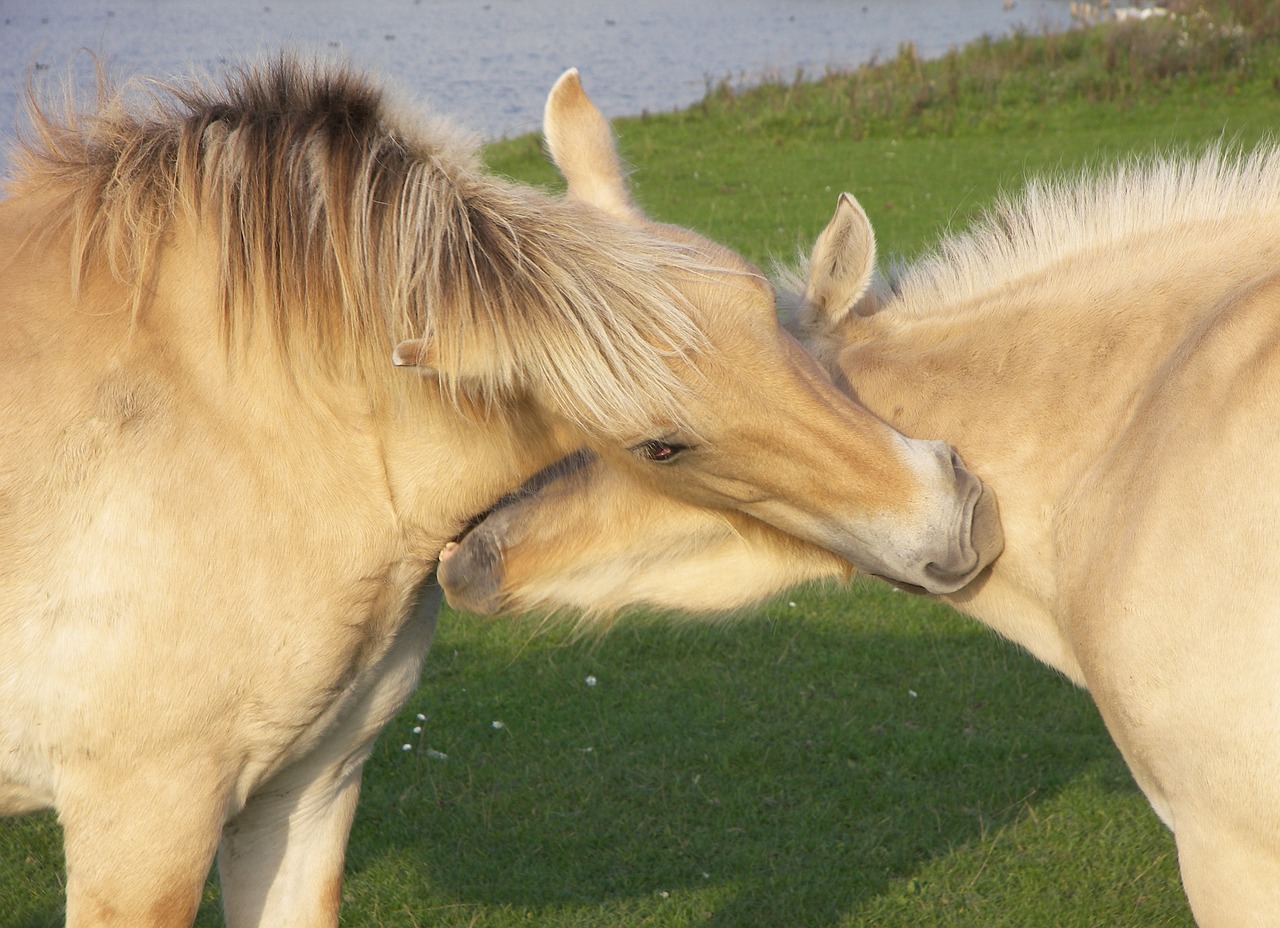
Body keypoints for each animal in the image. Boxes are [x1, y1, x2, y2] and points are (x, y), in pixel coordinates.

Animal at [0, 56, 998, 926]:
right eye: (660, 445)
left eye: (767, 313)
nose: (952, 513)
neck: (246, 434)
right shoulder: (145, 825)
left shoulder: (302, 796)